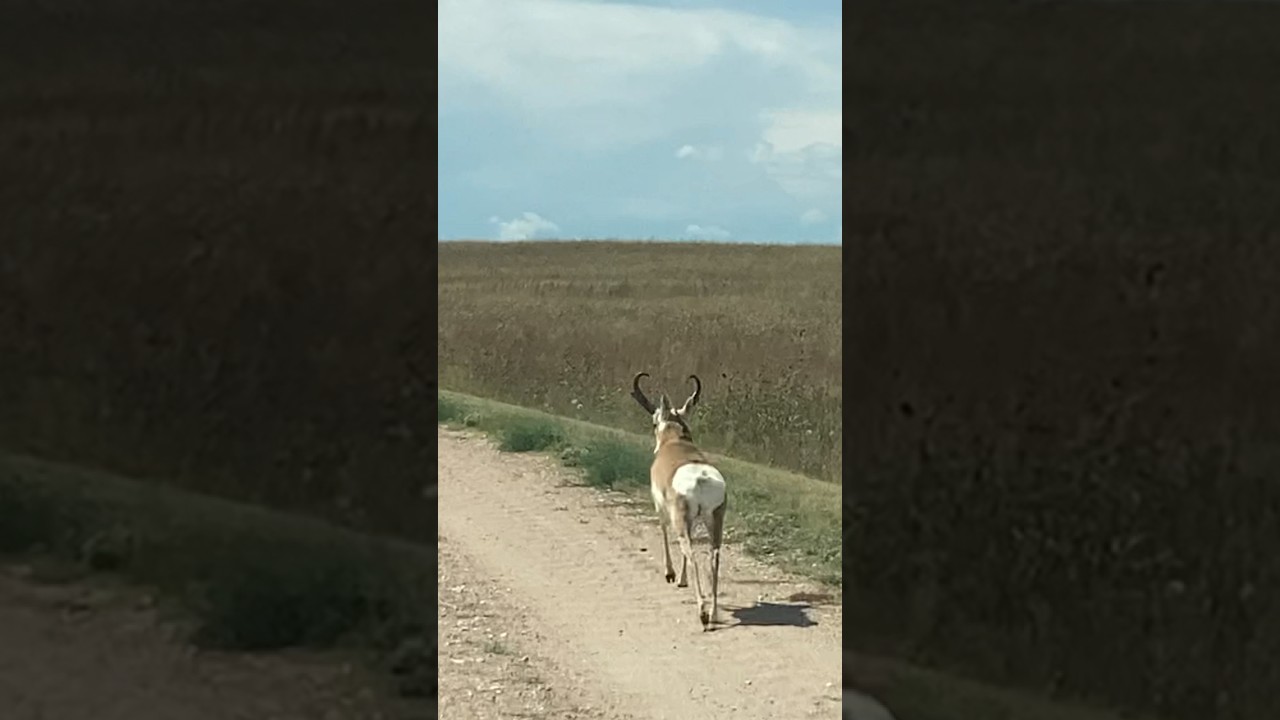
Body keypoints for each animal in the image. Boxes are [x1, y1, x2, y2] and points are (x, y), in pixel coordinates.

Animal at [631, 372, 727, 631]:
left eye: (654, 422)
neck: (676, 442)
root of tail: (702, 478)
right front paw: (681, 580)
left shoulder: (661, 508)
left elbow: (664, 532)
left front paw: (671, 575)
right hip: (714, 522)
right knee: (713, 557)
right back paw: (713, 613)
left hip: (682, 521)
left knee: (691, 553)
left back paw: (703, 613)